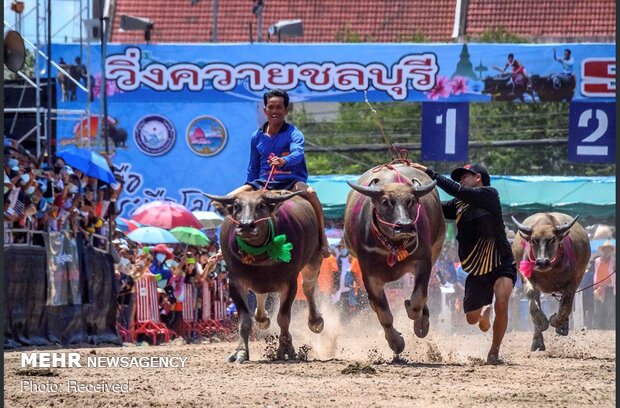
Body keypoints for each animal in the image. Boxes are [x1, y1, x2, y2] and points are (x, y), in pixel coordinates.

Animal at [207, 190, 326, 362]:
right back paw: (262, 320)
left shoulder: (290, 283)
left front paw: (285, 349)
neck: (259, 255)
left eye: (261, 205)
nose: (246, 225)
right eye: (236, 206)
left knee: (308, 287)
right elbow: (244, 320)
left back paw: (316, 321)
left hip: (314, 261)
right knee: (261, 295)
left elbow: (283, 318)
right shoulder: (235, 283)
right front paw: (240, 352)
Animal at [344, 163, 446, 354]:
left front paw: (419, 323)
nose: (404, 226)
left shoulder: (423, 262)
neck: (392, 247)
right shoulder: (369, 275)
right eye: (385, 202)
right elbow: (384, 314)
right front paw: (396, 343)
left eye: (411, 201)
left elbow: (417, 300)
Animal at [512, 214, 592, 350]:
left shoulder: (572, 282)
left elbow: (565, 307)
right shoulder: (525, 275)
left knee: (565, 304)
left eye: (553, 239)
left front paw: (556, 321)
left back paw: (562, 327)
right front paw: (543, 322)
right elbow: (533, 302)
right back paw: (537, 341)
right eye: (533, 240)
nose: (542, 262)